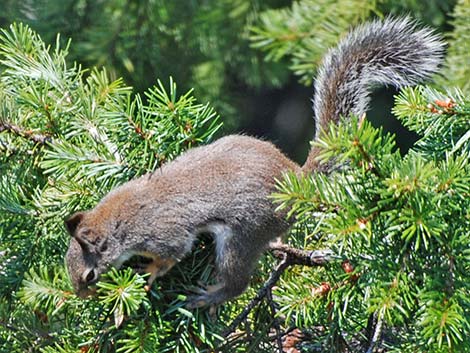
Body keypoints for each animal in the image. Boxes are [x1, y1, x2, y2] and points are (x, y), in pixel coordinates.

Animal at [65, 17, 444, 306]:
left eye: (89, 275)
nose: (80, 297)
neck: (118, 219)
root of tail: (297, 180)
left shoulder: (162, 233)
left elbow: (173, 253)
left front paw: (151, 271)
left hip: (243, 235)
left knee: (239, 281)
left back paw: (211, 296)